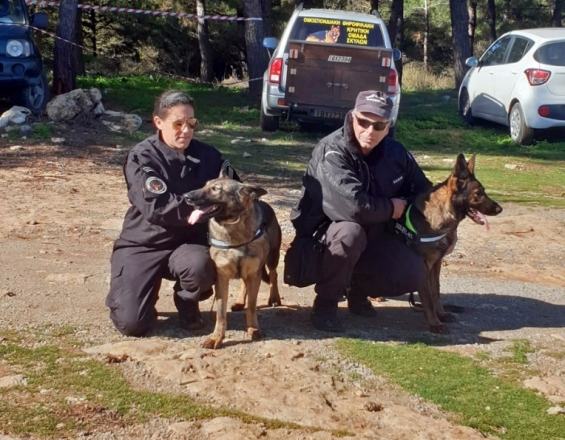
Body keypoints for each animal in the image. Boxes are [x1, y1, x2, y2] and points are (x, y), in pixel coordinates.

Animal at [185, 177, 282, 348]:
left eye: (215, 189)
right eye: (204, 185)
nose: (186, 197)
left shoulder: (254, 274)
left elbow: (252, 306)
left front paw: (253, 328)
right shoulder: (222, 278)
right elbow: (221, 313)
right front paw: (216, 337)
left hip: (272, 257)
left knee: (273, 275)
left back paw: (274, 298)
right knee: (245, 282)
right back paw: (239, 302)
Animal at [392, 153, 502, 332]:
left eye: (484, 191)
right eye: (478, 193)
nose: (500, 209)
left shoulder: (436, 263)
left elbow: (435, 290)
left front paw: (441, 314)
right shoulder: (424, 266)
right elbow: (427, 296)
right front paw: (434, 323)